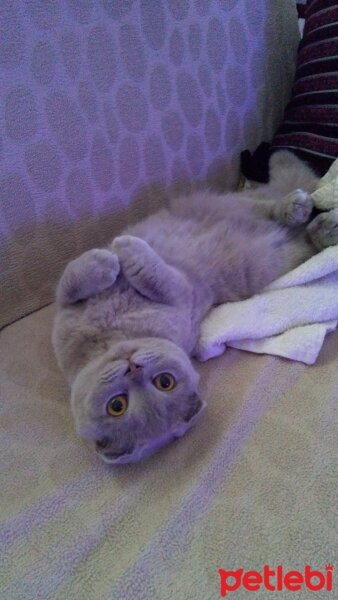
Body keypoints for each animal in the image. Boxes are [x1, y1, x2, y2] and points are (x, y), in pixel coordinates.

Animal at [52, 150, 338, 464]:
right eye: (117, 406)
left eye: (164, 382)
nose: (133, 368)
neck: (115, 334)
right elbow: (83, 278)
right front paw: (110, 261)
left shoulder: (179, 289)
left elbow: (81, 276)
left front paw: (116, 253)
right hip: (279, 248)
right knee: (305, 233)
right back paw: (322, 226)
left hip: (237, 206)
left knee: (278, 206)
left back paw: (299, 207)